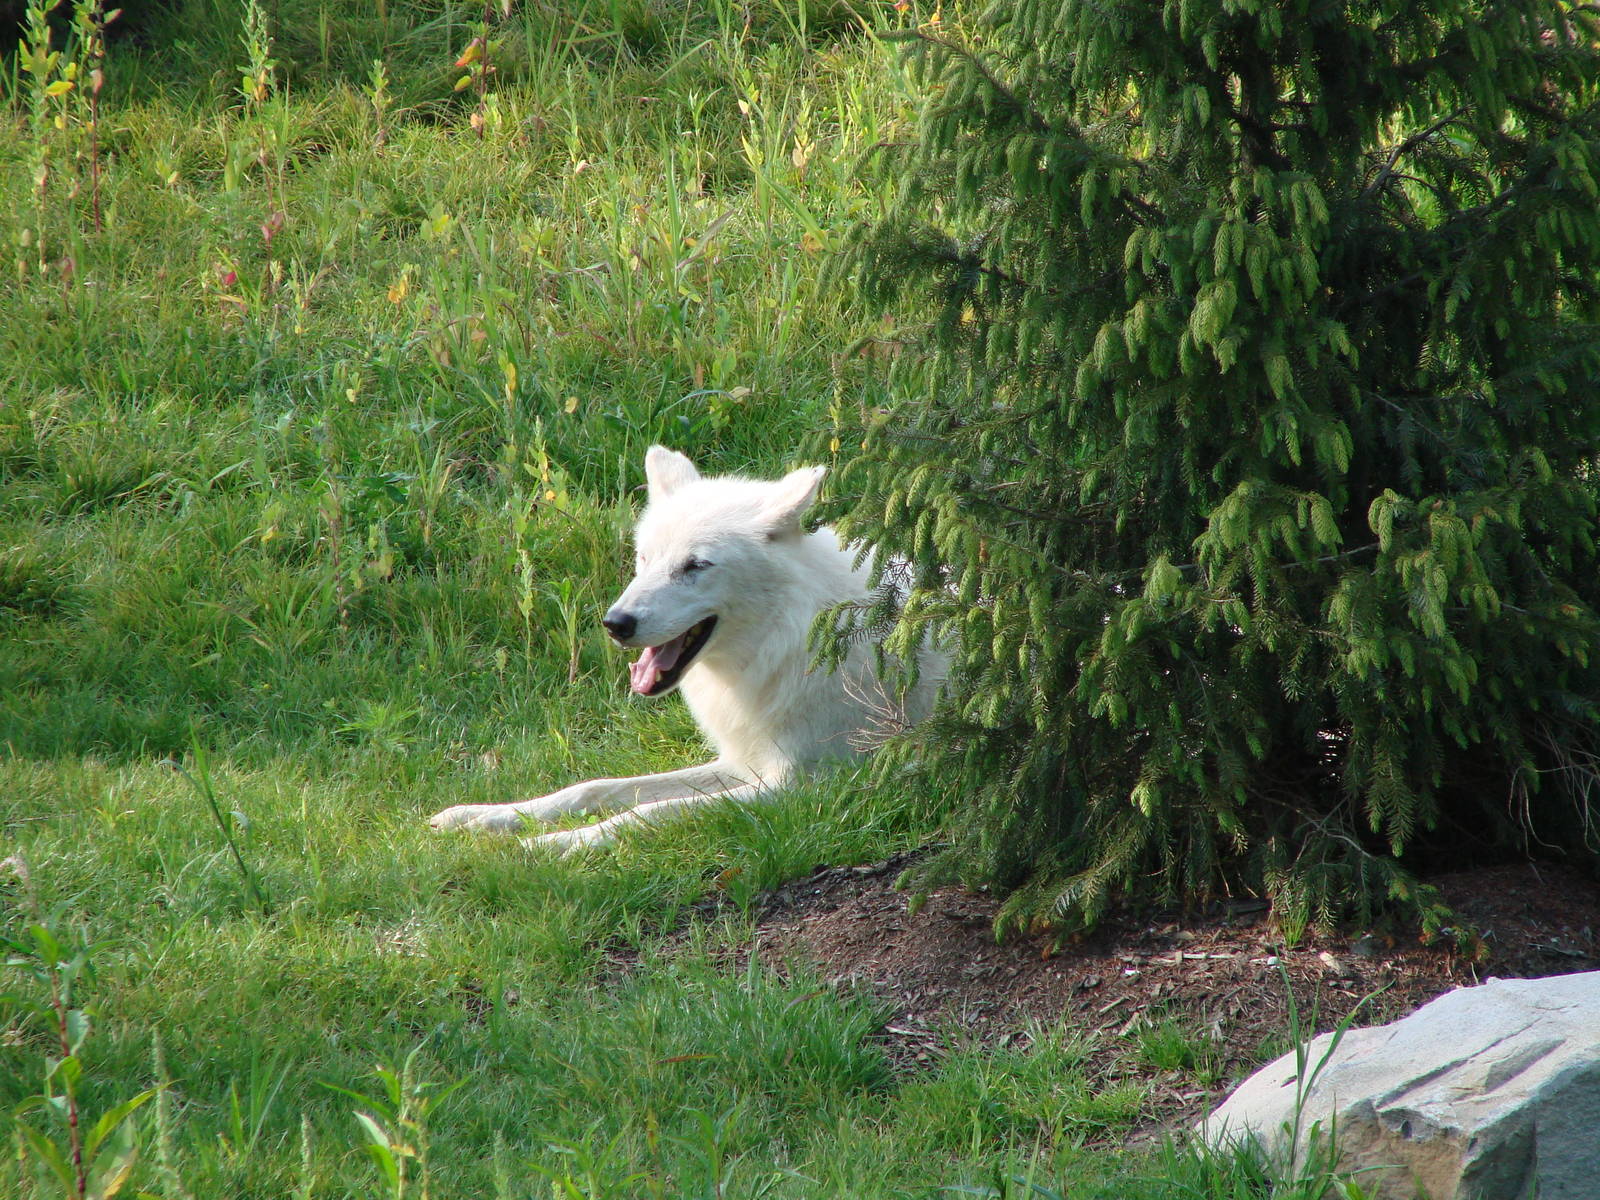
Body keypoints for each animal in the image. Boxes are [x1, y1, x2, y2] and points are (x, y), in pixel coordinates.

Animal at [428, 445, 944, 851]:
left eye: (695, 566)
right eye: (644, 558)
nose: (615, 624)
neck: (788, 645)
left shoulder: (800, 789)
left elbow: (646, 813)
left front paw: (555, 843)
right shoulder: (741, 763)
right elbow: (590, 788)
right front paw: (487, 816)